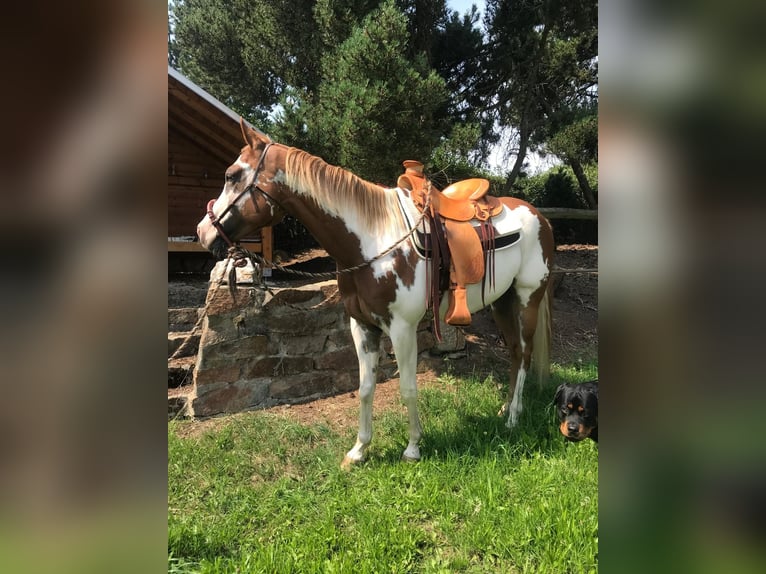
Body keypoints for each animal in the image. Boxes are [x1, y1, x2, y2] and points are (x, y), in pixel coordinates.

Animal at [197, 119, 554, 467]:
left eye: (231, 175)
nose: (202, 232)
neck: (371, 240)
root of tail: (540, 216)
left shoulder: (402, 328)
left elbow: (408, 388)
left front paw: (412, 448)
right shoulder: (363, 325)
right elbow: (365, 388)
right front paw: (359, 451)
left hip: (527, 298)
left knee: (524, 354)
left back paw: (513, 418)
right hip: (502, 302)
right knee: (514, 352)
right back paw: (505, 409)